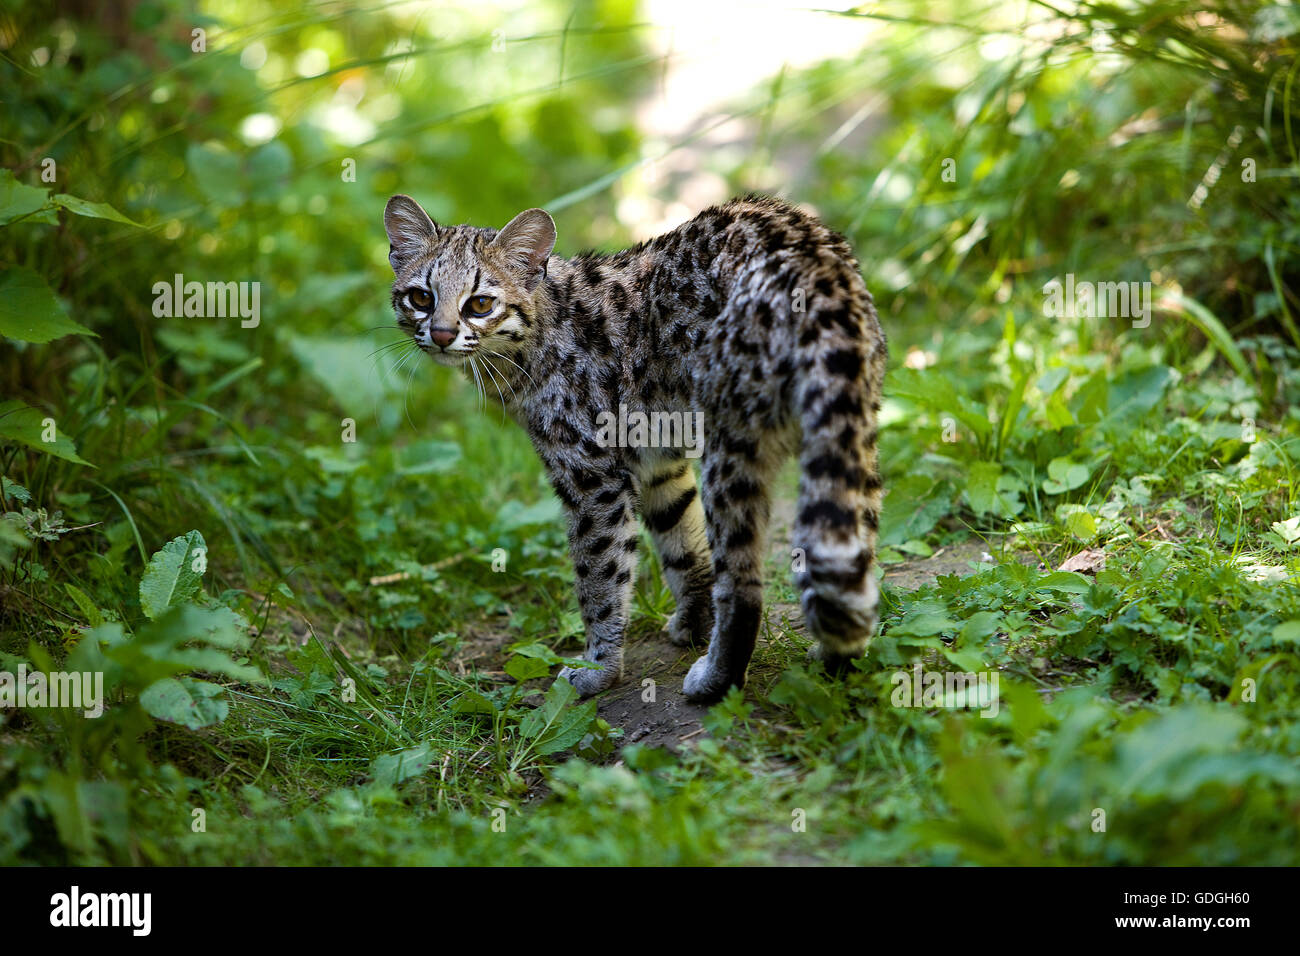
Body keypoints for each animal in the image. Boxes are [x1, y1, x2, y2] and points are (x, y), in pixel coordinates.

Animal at [382, 192, 883, 702]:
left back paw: (717, 679)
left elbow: (600, 576)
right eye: (421, 297)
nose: (442, 334)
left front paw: (599, 667)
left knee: (743, 583)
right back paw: (836, 662)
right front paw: (694, 621)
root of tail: (817, 267)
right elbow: (681, 545)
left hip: (731, 444)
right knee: (851, 556)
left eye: (480, 304)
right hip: (851, 429)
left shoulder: (590, 476)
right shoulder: (658, 461)